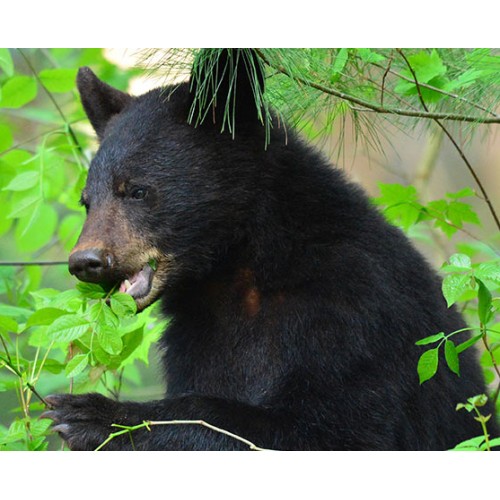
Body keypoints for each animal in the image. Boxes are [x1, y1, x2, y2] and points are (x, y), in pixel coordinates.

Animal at [42, 48, 496, 452]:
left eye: (136, 190)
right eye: (87, 201)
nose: (85, 261)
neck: (241, 266)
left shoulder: (354, 311)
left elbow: (330, 429)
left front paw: (94, 415)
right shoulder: (195, 337)